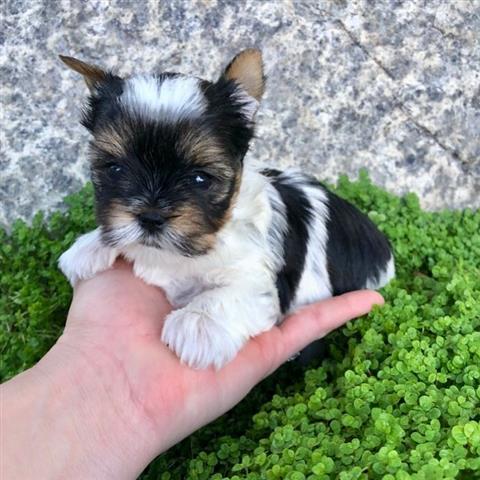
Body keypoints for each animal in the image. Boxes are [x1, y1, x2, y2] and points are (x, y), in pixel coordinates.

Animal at [58, 48, 394, 370]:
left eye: (200, 178)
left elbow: (237, 291)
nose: (150, 217)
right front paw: (89, 246)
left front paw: (197, 324)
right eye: (114, 169)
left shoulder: (263, 280)